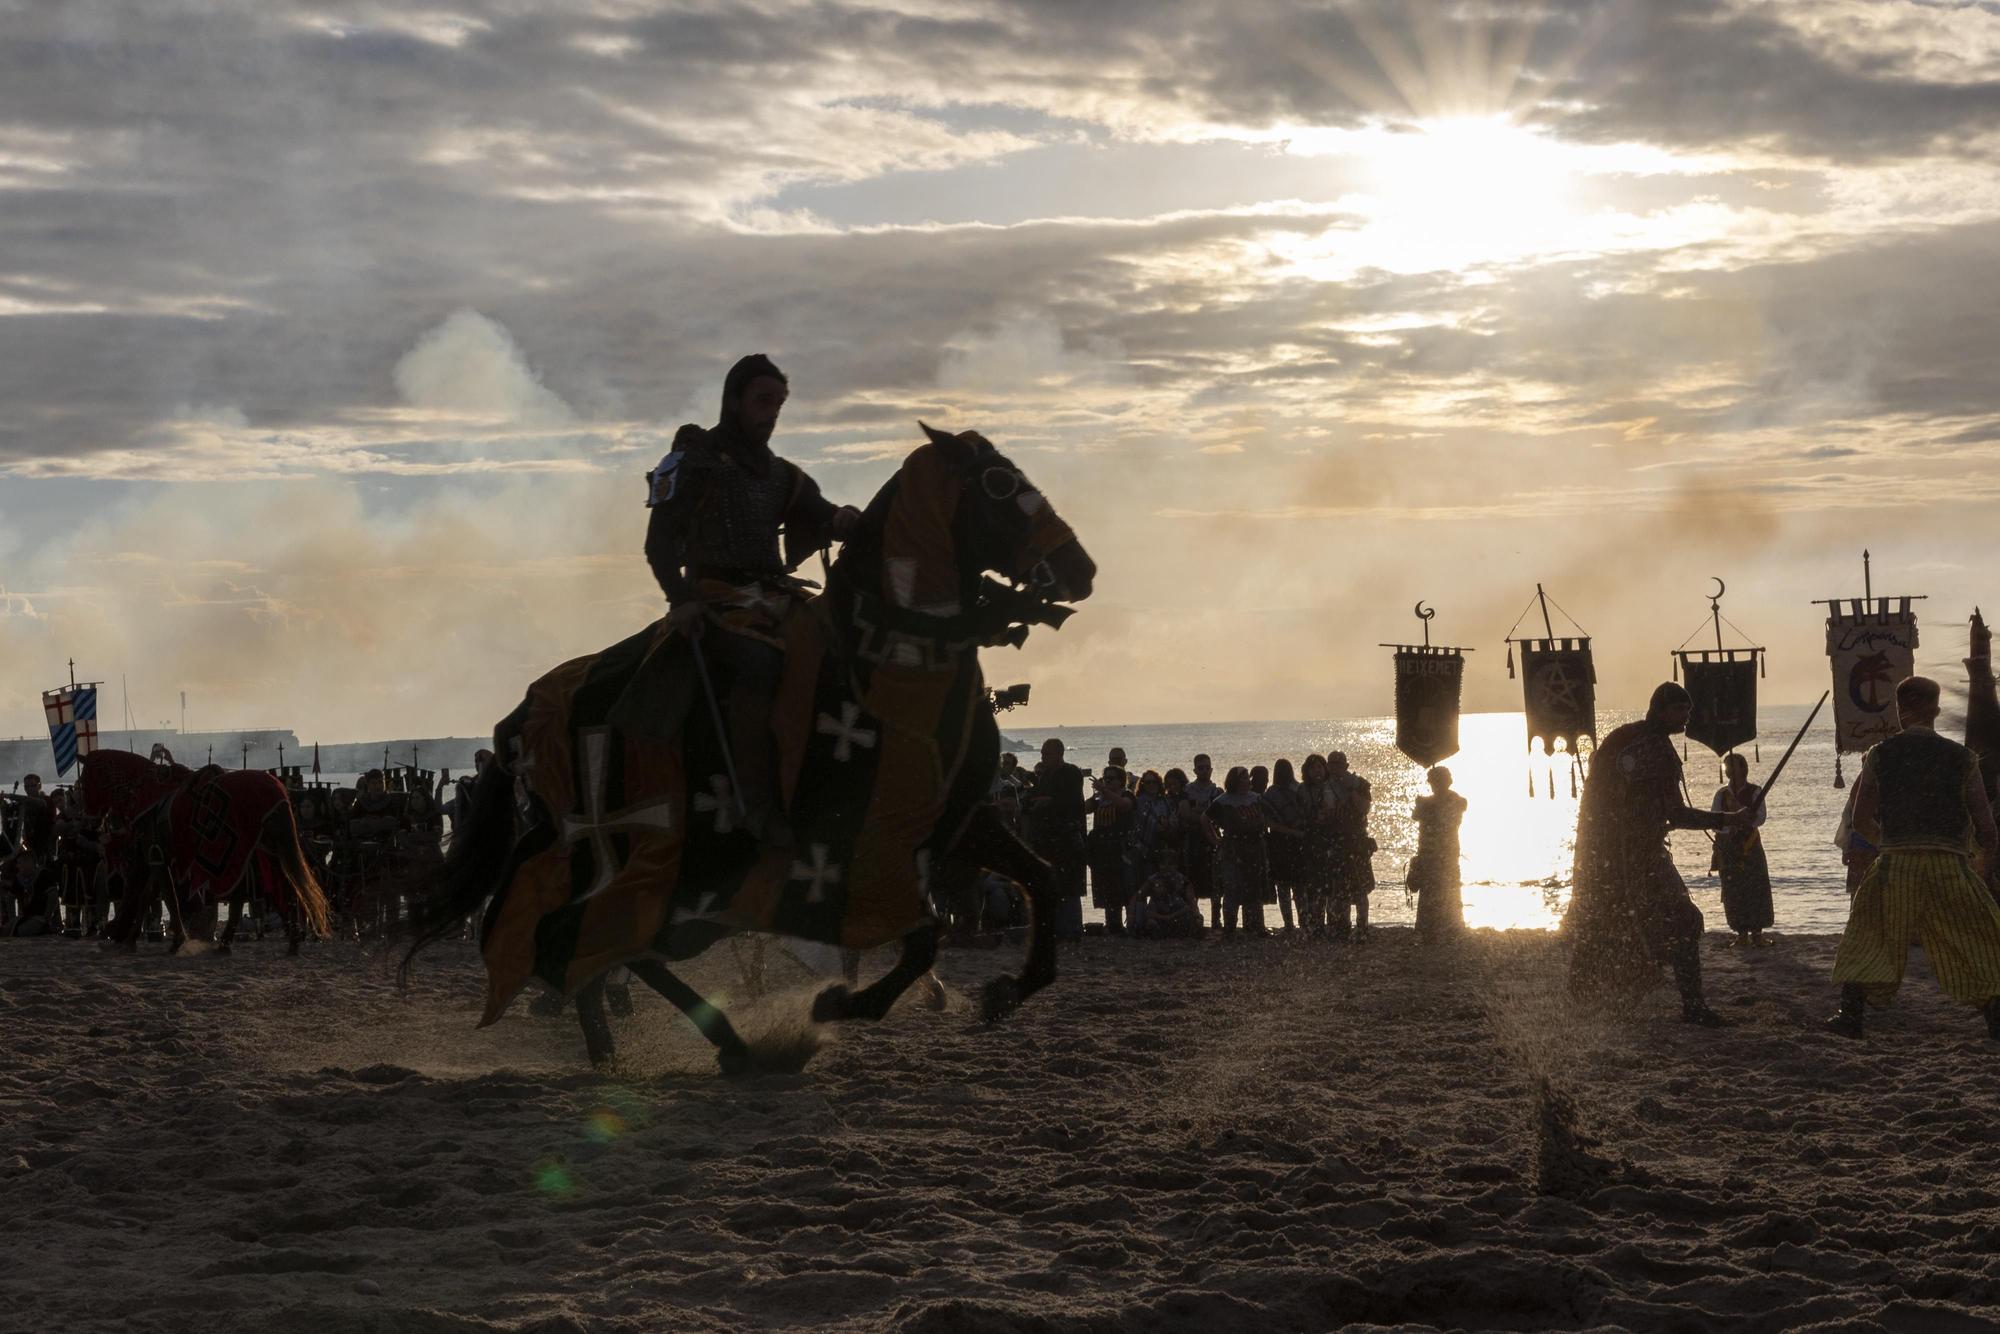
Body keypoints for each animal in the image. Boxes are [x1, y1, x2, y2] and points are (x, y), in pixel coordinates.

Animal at [404, 422, 1096, 1072]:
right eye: (999, 485)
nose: (1081, 570)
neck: (887, 656)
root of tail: (527, 712)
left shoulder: (957, 818)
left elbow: (1041, 878)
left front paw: (1006, 990)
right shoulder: (856, 843)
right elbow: (921, 937)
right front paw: (837, 1004)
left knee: (600, 944)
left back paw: (628, 1048)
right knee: (585, 939)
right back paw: (713, 1044)